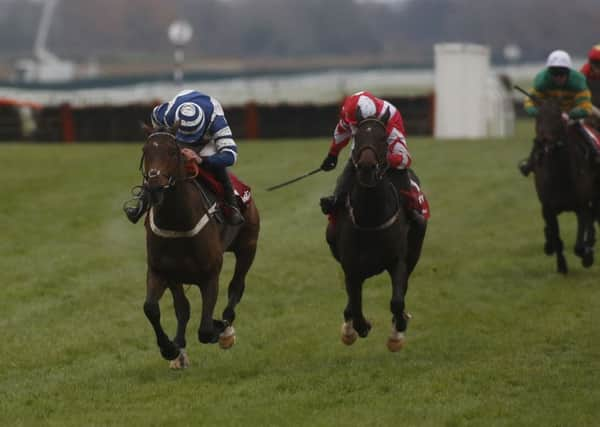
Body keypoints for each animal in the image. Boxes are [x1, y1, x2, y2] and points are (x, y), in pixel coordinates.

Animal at [324, 108, 426, 352]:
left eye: (382, 138)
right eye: (358, 137)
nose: (367, 168)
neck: (371, 218)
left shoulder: (398, 260)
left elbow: (397, 301)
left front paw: (397, 332)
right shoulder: (351, 268)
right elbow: (355, 304)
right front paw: (355, 329)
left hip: (414, 254)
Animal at [532, 98, 596, 272]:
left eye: (557, 118)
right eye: (538, 117)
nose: (542, 142)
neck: (560, 174)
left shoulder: (581, 205)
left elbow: (579, 244)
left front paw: (587, 257)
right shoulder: (548, 208)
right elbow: (556, 238)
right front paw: (561, 265)